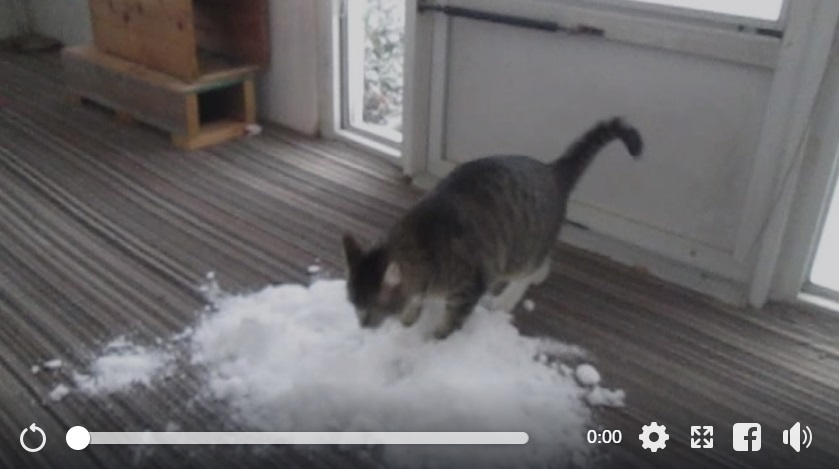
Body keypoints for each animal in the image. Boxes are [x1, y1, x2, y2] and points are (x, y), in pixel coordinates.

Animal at [342, 116, 644, 336]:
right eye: (353, 306)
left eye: (369, 310)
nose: (362, 326)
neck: (421, 245)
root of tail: (552, 171)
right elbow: (414, 303)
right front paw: (409, 318)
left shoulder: (466, 289)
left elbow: (449, 324)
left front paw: (431, 342)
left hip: (522, 250)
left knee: (531, 270)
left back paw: (506, 298)